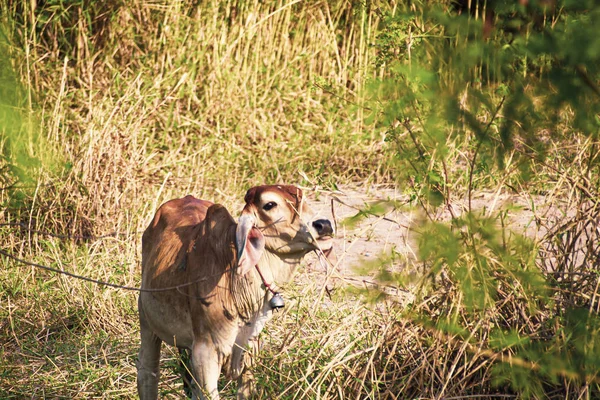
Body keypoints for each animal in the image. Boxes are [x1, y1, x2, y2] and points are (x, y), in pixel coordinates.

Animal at [137, 185, 332, 400]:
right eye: (270, 204)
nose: (324, 225)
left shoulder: (249, 349)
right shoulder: (205, 353)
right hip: (147, 322)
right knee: (148, 371)